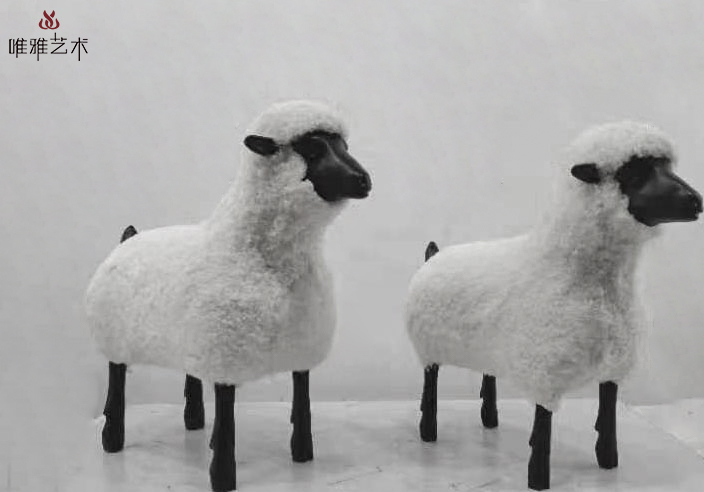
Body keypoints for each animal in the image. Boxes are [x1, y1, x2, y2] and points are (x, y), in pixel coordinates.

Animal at [85, 100, 372, 492]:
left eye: (343, 144)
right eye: (312, 149)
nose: (364, 180)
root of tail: (130, 238)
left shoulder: (299, 350)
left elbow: (303, 405)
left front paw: (302, 455)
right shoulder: (226, 356)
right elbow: (227, 423)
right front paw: (222, 474)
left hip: (190, 339)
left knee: (190, 375)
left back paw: (193, 422)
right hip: (116, 337)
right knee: (116, 383)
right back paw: (112, 439)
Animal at [405, 121, 702, 490]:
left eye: (665, 166)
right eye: (633, 173)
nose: (696, 201)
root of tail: (434, 256)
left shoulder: (613, 365)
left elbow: (608, 415)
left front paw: (608, 462)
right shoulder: (545, 371)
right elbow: (542, 428)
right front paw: (538, 478)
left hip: (488, 348)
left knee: (488, 377)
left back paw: (490, 420)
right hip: (429, 347)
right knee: (429, 384)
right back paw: (428, 431)